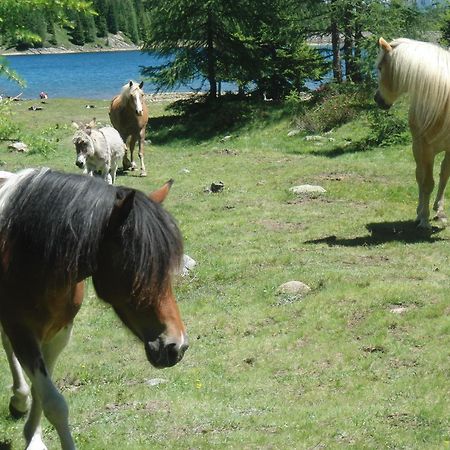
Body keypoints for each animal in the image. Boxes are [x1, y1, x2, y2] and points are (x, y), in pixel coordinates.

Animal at [0, 169, 187, 450]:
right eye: (136, 267)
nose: (176, 346)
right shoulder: (22, 332)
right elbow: (54, 403)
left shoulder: (59, 332)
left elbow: (41, 391)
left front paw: (33, 434)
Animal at [374, 37, 450, 230]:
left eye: (380, 68)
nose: (377, 99)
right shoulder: (426, 148)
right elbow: (427, 182)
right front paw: (424, 219)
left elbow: (443, 177)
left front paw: (439, 213)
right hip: (418, 148)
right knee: (420, 176)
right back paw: (419, 212)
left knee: (442, 174)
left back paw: (438, 211)